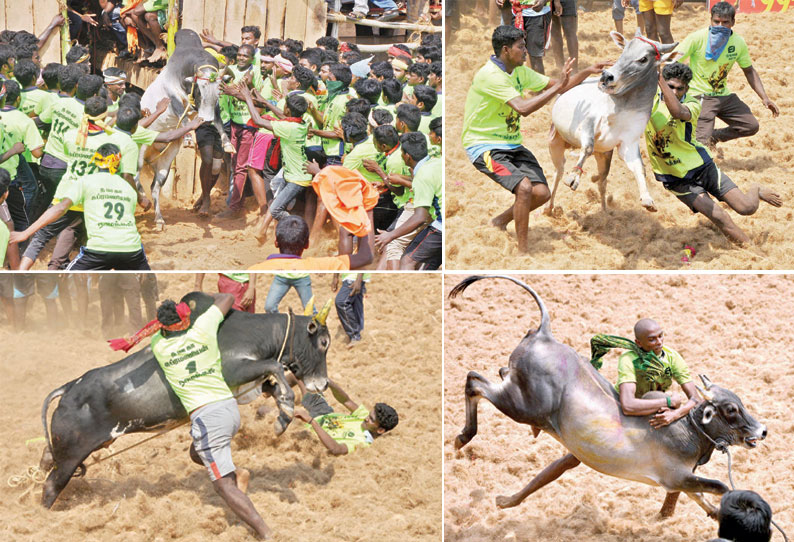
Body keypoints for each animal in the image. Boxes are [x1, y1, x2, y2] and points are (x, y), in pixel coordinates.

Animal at [38, 294, 330, 510]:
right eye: (324, 342)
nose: (324, 384)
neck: (255, 332)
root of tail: (69, 388)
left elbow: (273, 382)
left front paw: (283, 413)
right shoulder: (232, 370)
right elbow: (275, 368)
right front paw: (286, 410)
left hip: (67, 451)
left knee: (45, 460)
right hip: (70, 456)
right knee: (51, 486)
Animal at [139, 29, 230, 230]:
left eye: (218, 91)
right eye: (200, 89)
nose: (206, 120)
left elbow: (219, 122)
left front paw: (228, 143)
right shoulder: (173, 94)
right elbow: (181, 111)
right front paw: (188, 136)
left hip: (166, 160)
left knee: (155, 187)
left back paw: (159, 219)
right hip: (139, 150)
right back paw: (142, 201)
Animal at [448, 278, 764, 520]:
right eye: (731, 410)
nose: (762, 431)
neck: (688, 431)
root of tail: (545, 335)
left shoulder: (681, 479)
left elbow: (701, 495)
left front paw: (710, 514)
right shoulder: (675, 477)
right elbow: (721, 487)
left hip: (522, 400)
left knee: (491, 378)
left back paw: (504, 498)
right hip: (523, 406)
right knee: (474, 382)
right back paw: (463, 438)